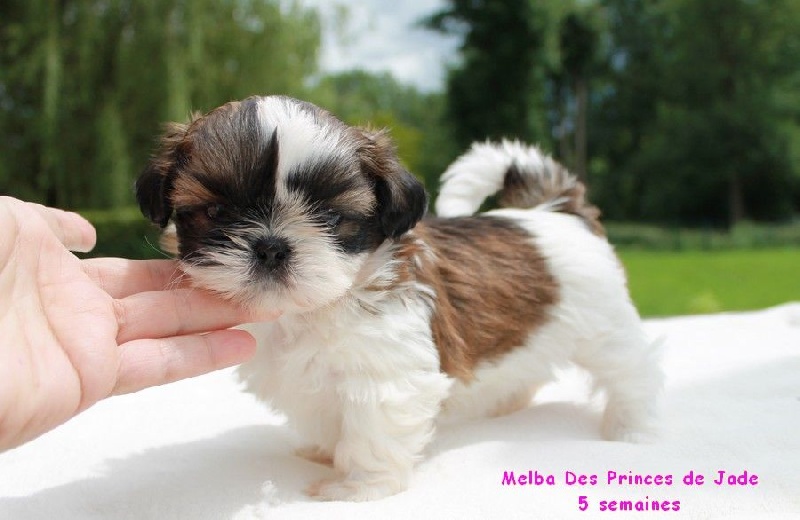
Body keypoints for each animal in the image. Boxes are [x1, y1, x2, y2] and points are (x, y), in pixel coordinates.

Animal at [136, 95, 662, 501]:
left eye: (331, 217)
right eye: (216, 212)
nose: (270, 246)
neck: (313, 308)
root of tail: (557, 212)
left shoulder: (387, 377)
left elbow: (371, 431)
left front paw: (356, 488)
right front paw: (324, 452)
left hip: (604, 327)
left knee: (631, 373)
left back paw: (632, 429)